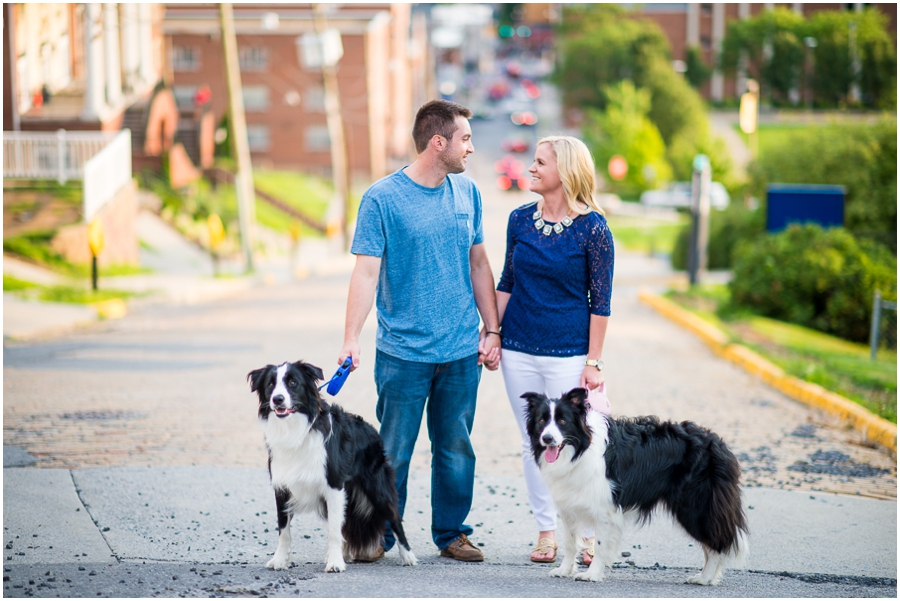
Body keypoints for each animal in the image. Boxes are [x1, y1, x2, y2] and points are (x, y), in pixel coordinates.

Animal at [246, 360, 414, 572]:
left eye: (293, 383)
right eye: (270, 384)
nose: (277, 399)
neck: (295, 429)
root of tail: (372, 430)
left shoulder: (333, 485)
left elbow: (334, 530)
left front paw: (335, 563)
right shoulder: (282, 485)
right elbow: (283, 529)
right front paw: (280, 560)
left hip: (377, 488)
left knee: (394, 518)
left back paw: (408, 556)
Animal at [524, 386, 748, 584]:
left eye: (562, 421)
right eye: (542, 421)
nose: (547, 438)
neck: (580, 448)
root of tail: (718, 443)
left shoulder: (606, 509)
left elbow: (600, 544)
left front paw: (591, 575)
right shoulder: (569, 506)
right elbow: (570, 543)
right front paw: (564, 570)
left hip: (695, 506)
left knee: (716, 544)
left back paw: (704, 578)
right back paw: (706, 578)